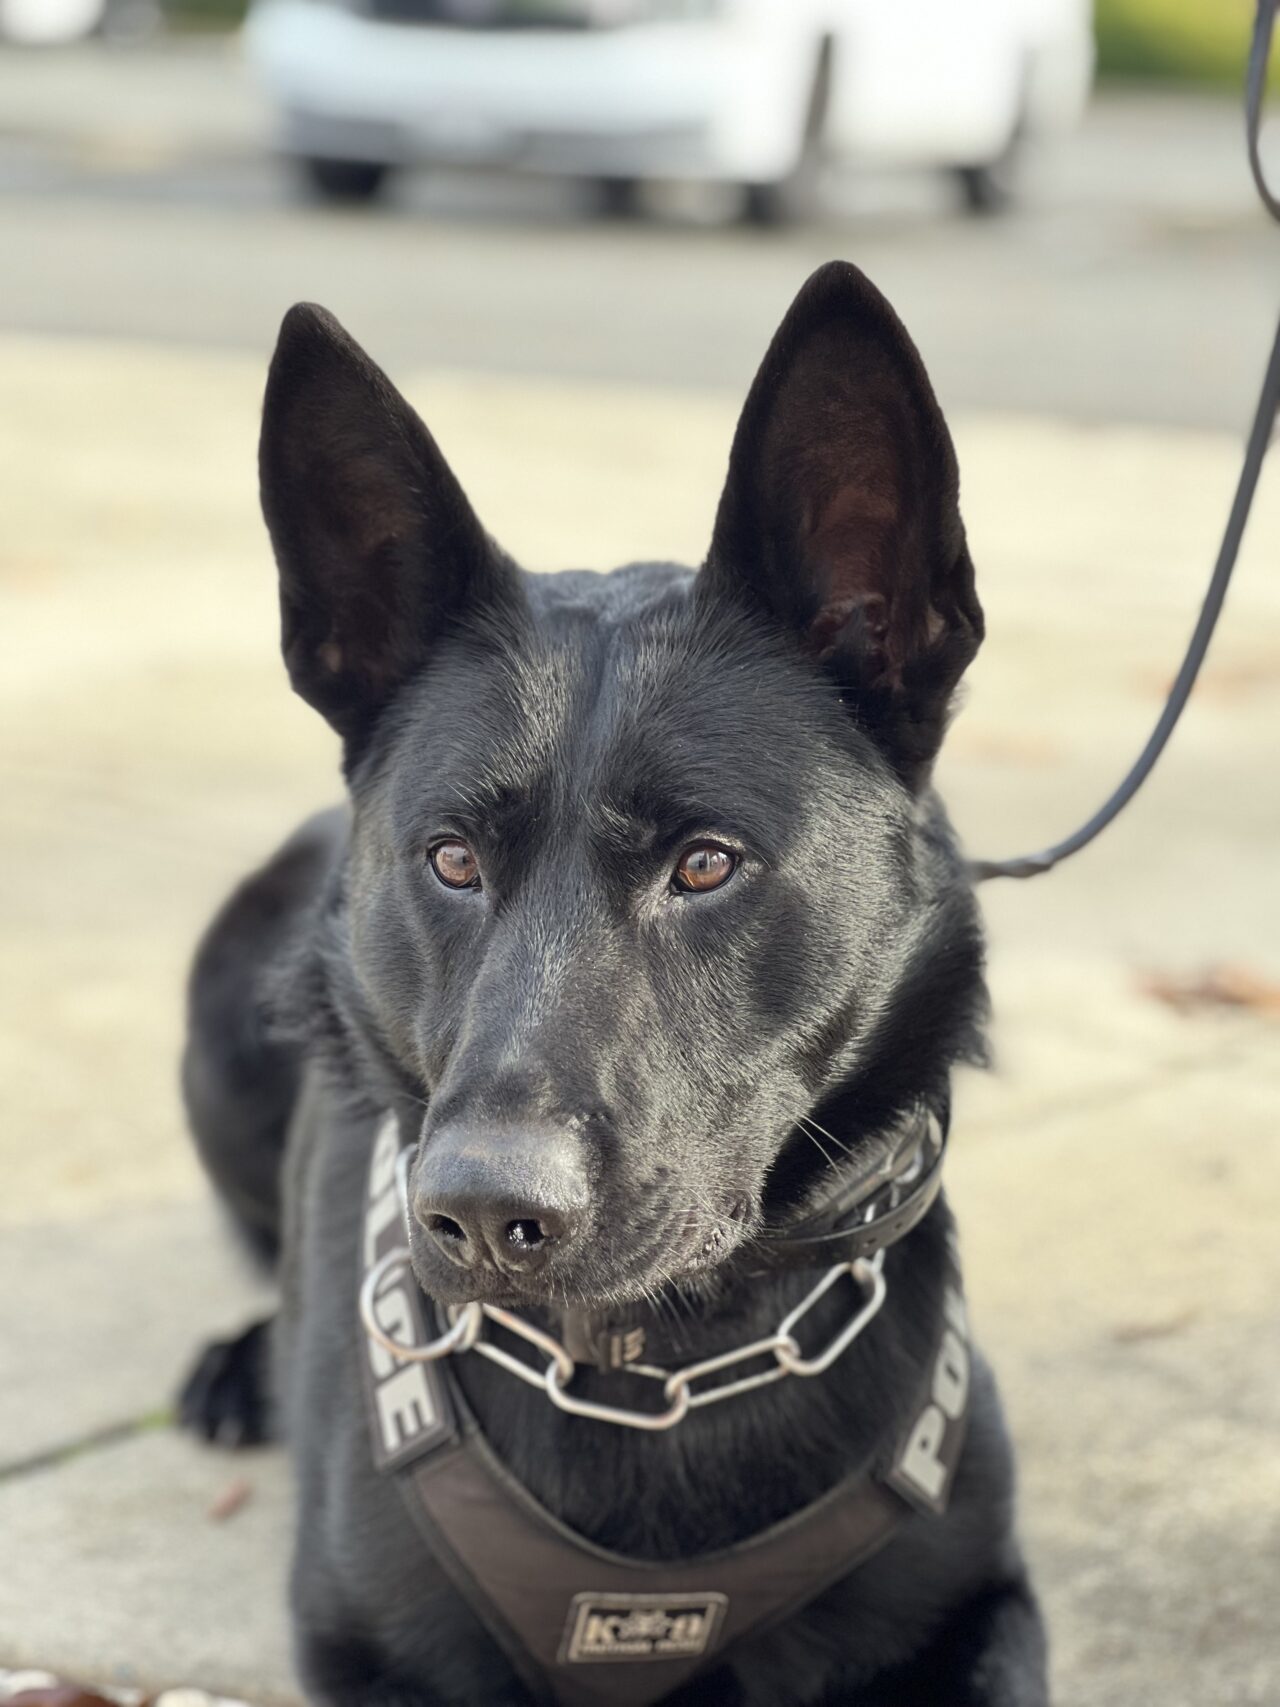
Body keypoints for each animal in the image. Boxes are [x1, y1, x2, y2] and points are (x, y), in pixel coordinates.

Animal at [182, 262, 1051, 1707]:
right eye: (453, 858)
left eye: (705, 863)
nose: (483, 1212)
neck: (662, 1368)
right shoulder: (367, 1646)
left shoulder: (978, 1601)